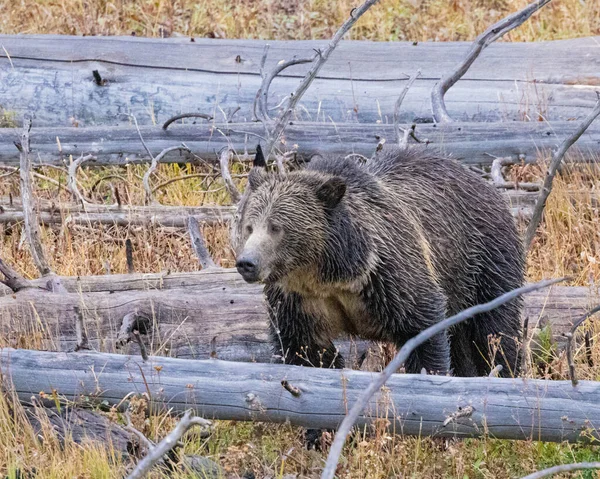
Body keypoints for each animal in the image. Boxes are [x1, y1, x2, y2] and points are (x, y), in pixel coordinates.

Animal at [232, 146, 524, 378]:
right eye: (249, 226)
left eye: (276, 228)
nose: (247, 262)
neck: (328, 275)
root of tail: (485, 184)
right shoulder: (299, 303)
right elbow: (305, 351)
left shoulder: (391, 278)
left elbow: (423, 331)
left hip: (484, 260)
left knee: (494, 328)